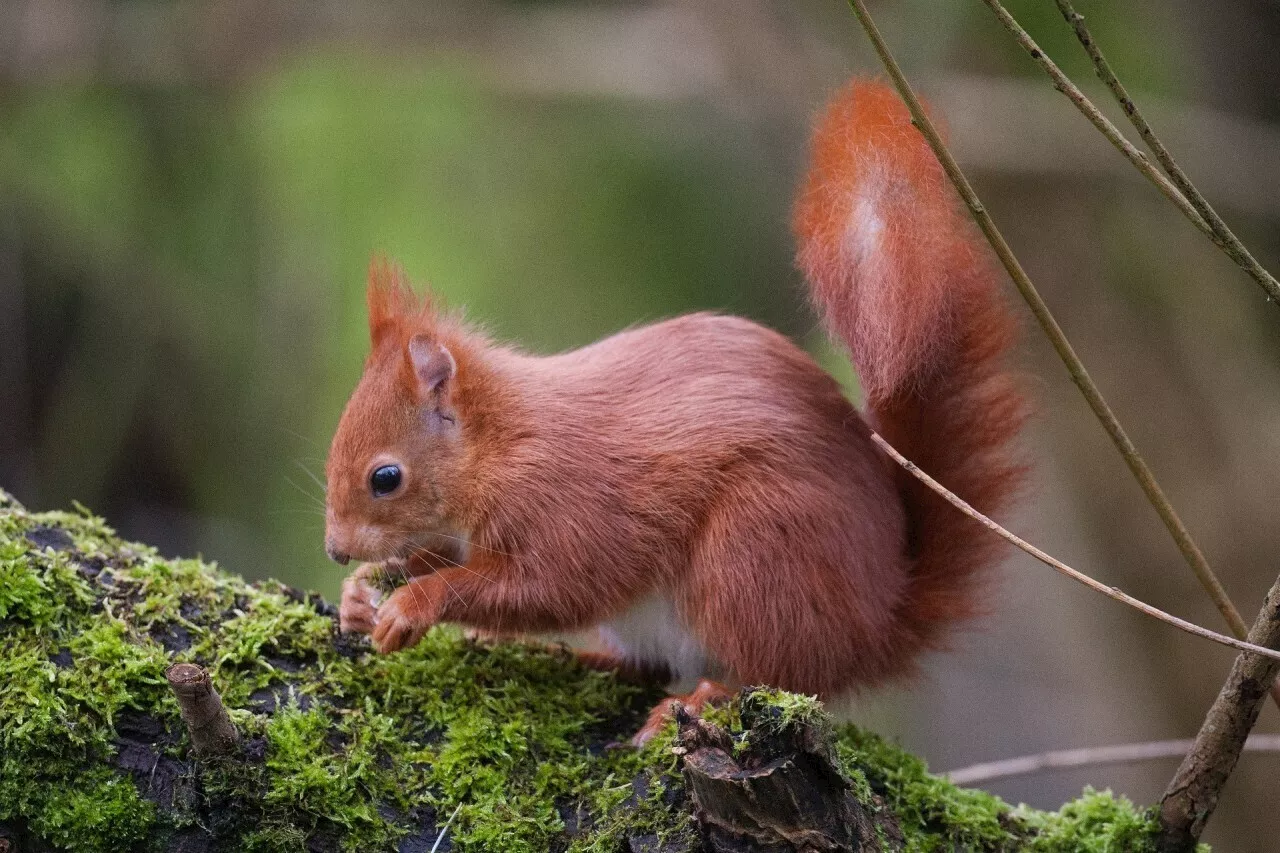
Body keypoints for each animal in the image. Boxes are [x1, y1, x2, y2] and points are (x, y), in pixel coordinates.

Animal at [325, 81, 1024, 742]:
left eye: (385, 478)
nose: (335, 550)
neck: (499, 445)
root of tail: (874, 626)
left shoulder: (566, 505)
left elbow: (546, 585)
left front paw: (415, 602)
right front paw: (361, 593)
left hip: (754, 555)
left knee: (774, 674)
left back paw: (700, 699)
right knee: (649, 665)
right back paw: (583, 660)